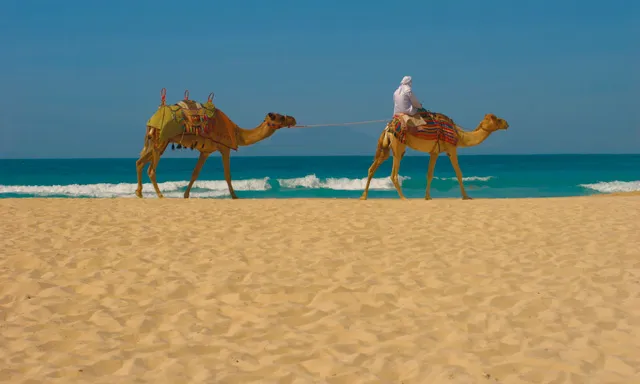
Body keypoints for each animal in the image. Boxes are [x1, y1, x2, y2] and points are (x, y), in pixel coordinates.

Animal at [138, 97, 298, 198]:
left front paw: (186, 195)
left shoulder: (206, 151)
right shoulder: (225, 148)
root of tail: (152, 119)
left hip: (155, 140)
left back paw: (139, 193)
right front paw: (235, 196)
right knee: (151, 169)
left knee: (139, 162)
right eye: (280, 117)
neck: (237, 133)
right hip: (161, 140)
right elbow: (227, 175)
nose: (293, 118)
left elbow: (195, 173)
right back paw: (160, 195)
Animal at [360, 112, 510, 200]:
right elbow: (459, 173)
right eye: (497, 119)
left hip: (387, 148)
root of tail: (388, 128)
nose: (506, 123)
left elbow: (429, 174)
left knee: (372, 168)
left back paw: (364, 196)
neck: (459, 135)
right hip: (398, 146)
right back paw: (403, 198)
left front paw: (427, 197)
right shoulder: (451, 149)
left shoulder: (434, 152)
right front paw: (466, 196)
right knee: (393, 174)